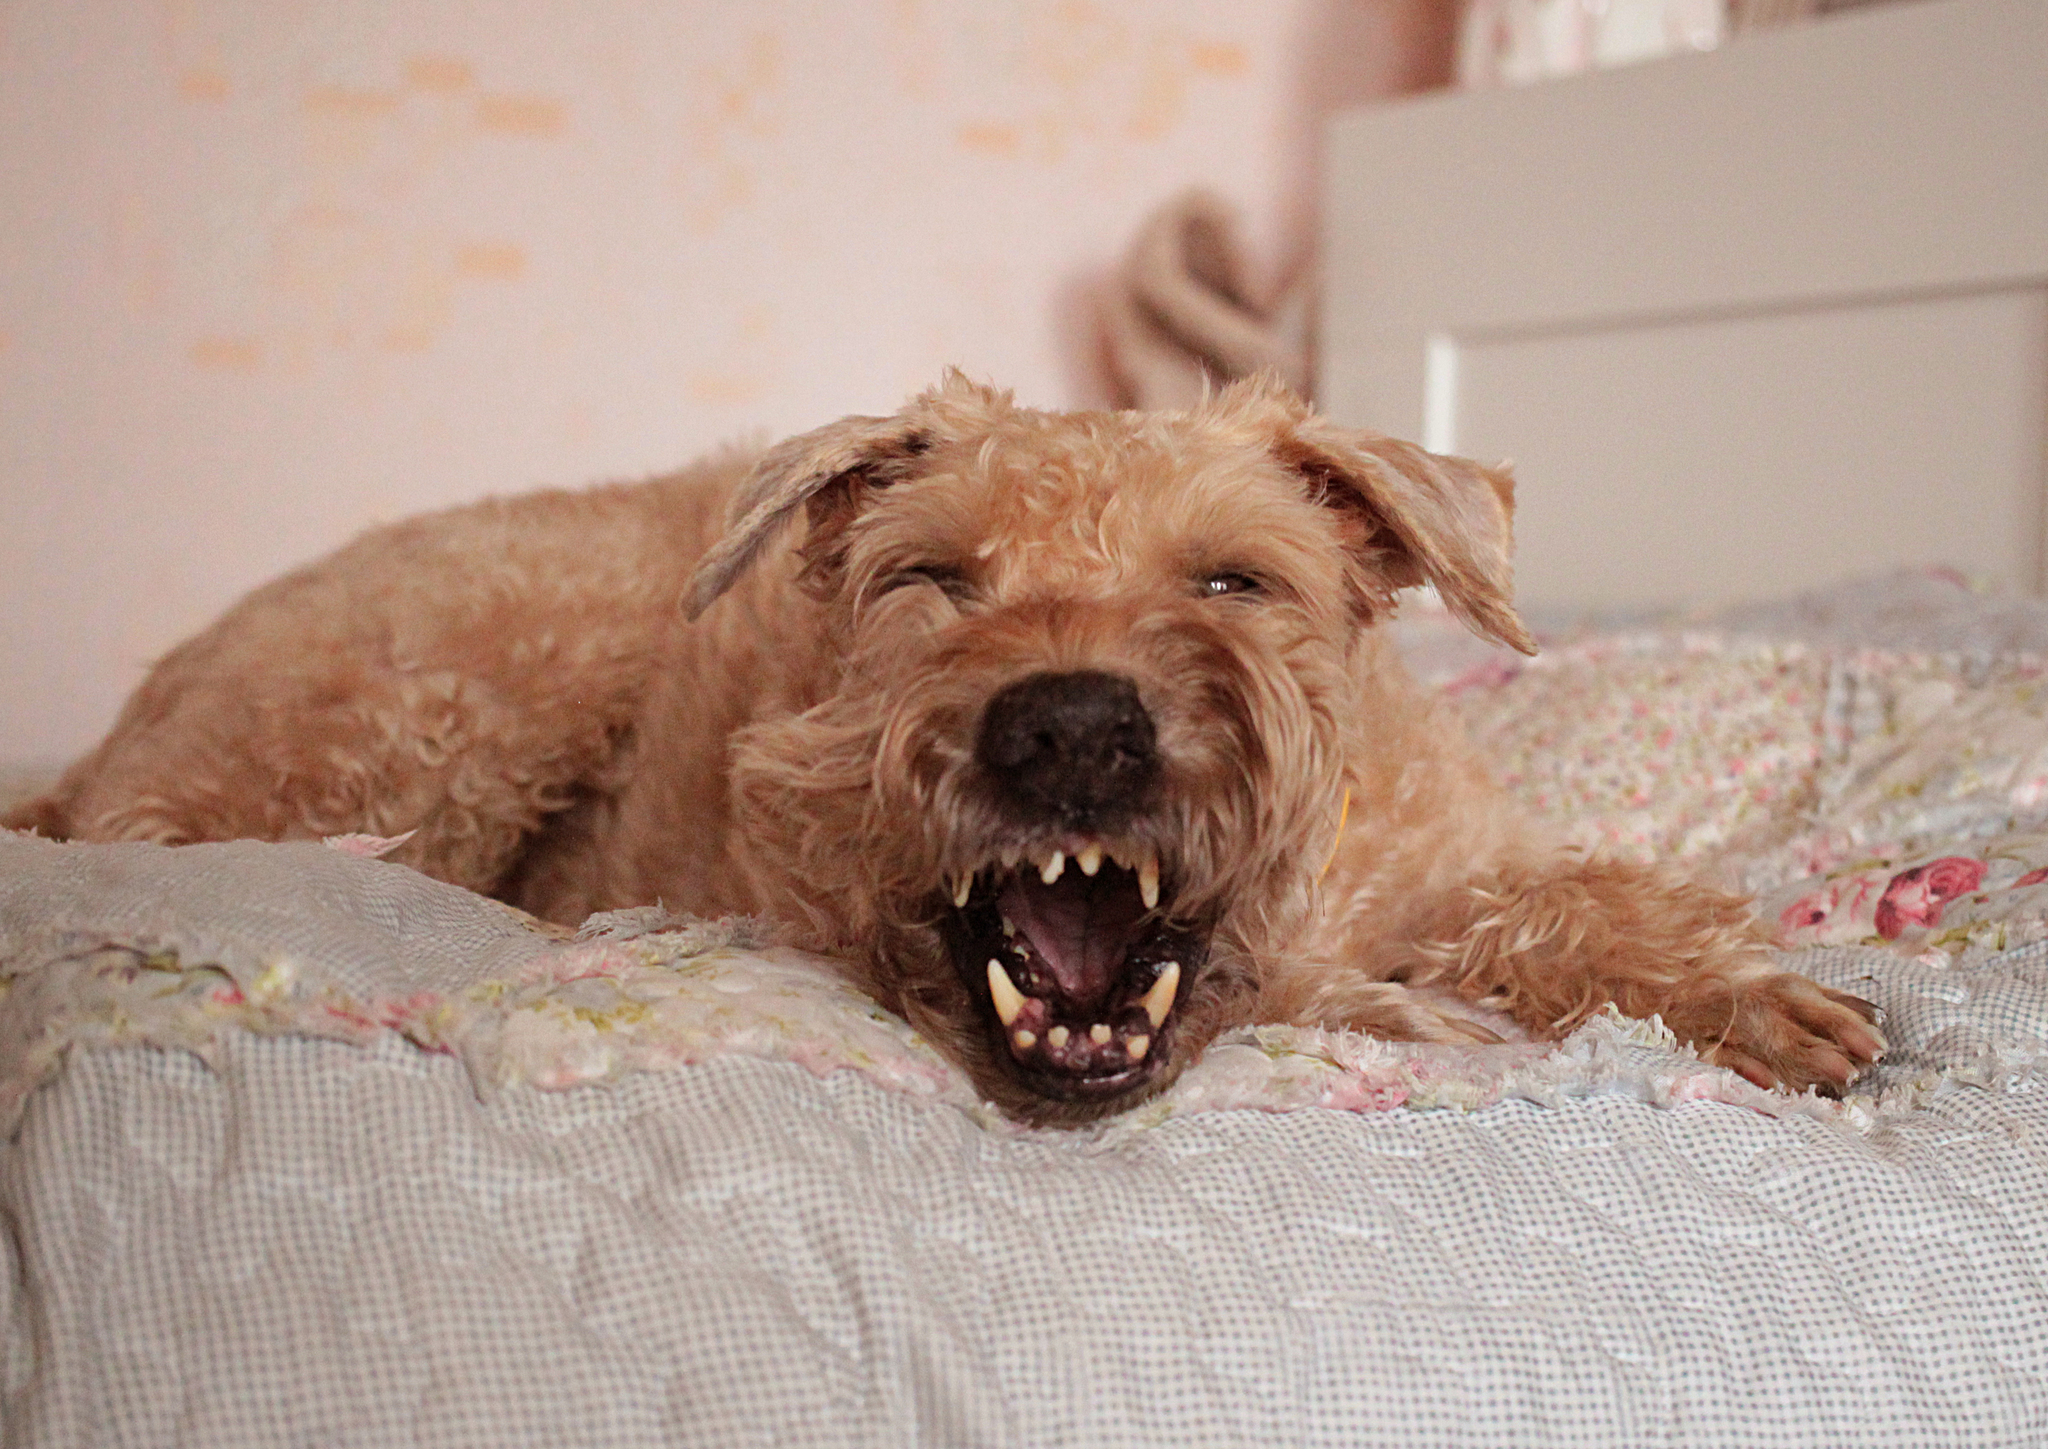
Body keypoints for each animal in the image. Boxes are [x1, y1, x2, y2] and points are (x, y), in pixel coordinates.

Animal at [8, 370, 1875, 1121]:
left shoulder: (1458, 856)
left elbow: (1575, 899)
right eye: (931, 577)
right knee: (183, 833)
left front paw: (1751, 999)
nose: (1068, 721)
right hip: (453, 692)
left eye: (1234, 577)